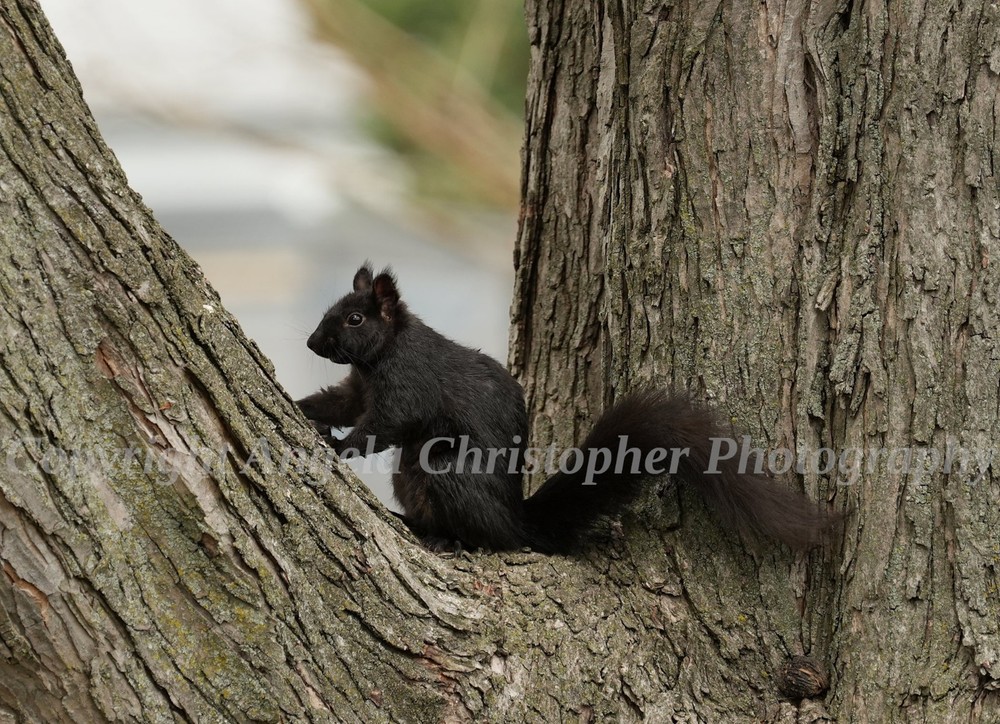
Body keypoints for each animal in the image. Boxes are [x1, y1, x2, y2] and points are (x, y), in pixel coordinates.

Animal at [297, 264, 839, 553]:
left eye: (355, 319)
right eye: (331, 311)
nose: (310, 342)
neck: (383, 354)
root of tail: (519, 521)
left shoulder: (409, 386)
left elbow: (382, 427)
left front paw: (338, 447)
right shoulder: (358, 388)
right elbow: (338, 403)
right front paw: (304, 409)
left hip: (450, 471)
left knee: (488, 537)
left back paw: (450, 540)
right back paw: (417, 526)